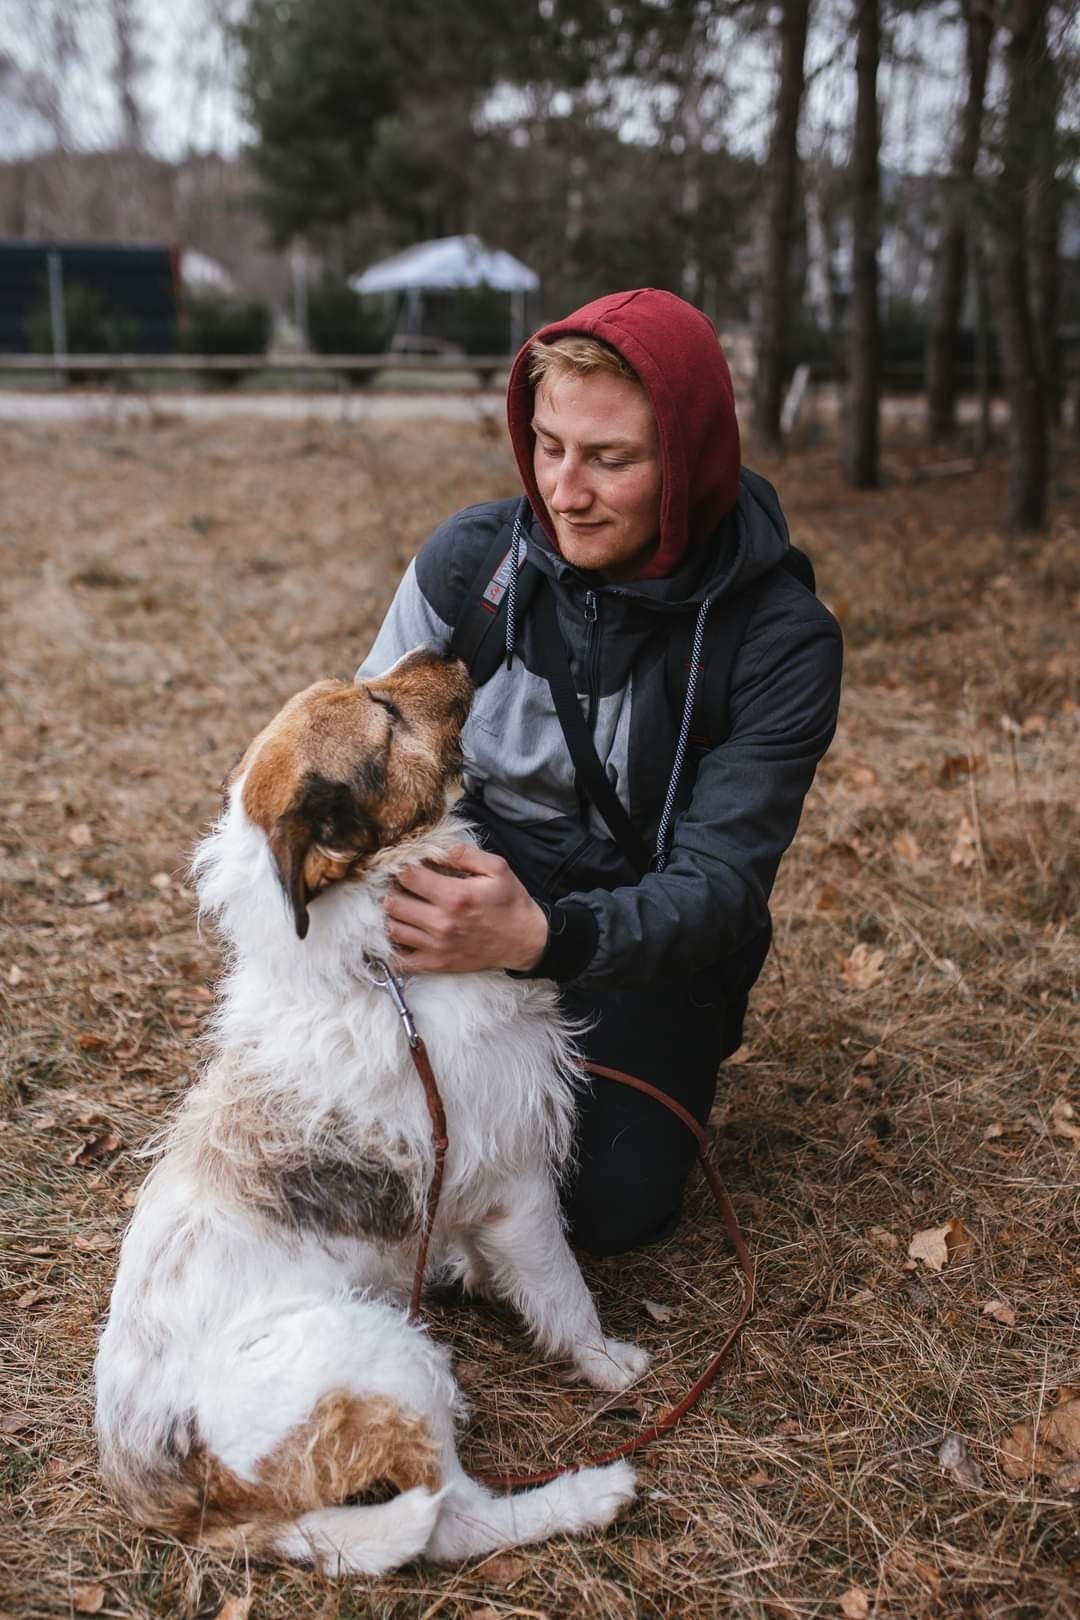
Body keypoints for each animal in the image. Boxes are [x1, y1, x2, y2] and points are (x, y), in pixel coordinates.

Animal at [93, 641, 647, 1568]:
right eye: (383, 715)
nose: (444, 645)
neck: (382, 970)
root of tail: (180, 1503)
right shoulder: (517, 1182)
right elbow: (565, 1293)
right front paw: (605, 1360)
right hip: (391, 1363)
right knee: (454, 1518)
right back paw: (587, 1497)